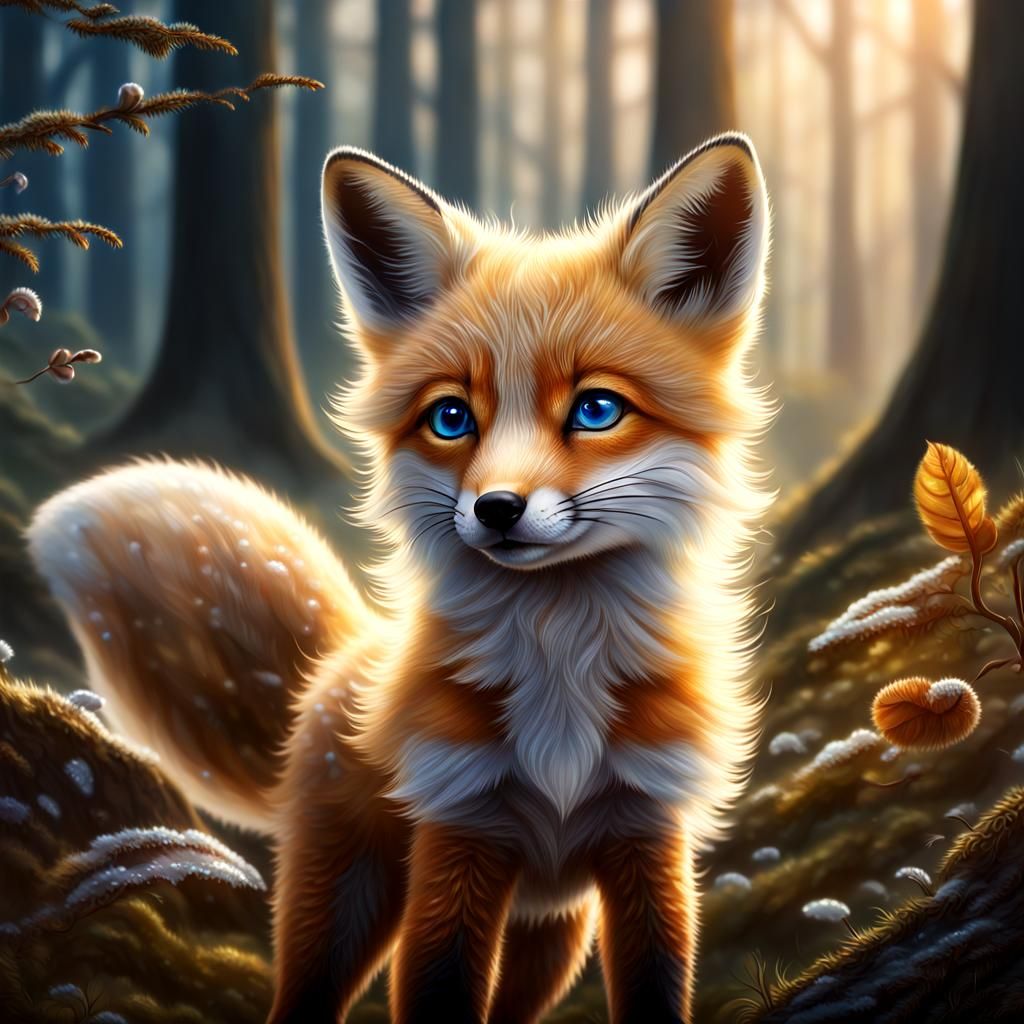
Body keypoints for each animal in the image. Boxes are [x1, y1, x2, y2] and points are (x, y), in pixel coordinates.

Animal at [28, 133, 772, 1023]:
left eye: (596, 409)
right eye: (451, 418)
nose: (496, 508)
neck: (559, 677)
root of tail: (336, 663)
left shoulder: (646, 835)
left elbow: (657, 986)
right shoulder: (459, 833)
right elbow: (433, 989)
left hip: (552, 935)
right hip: (348, 903)